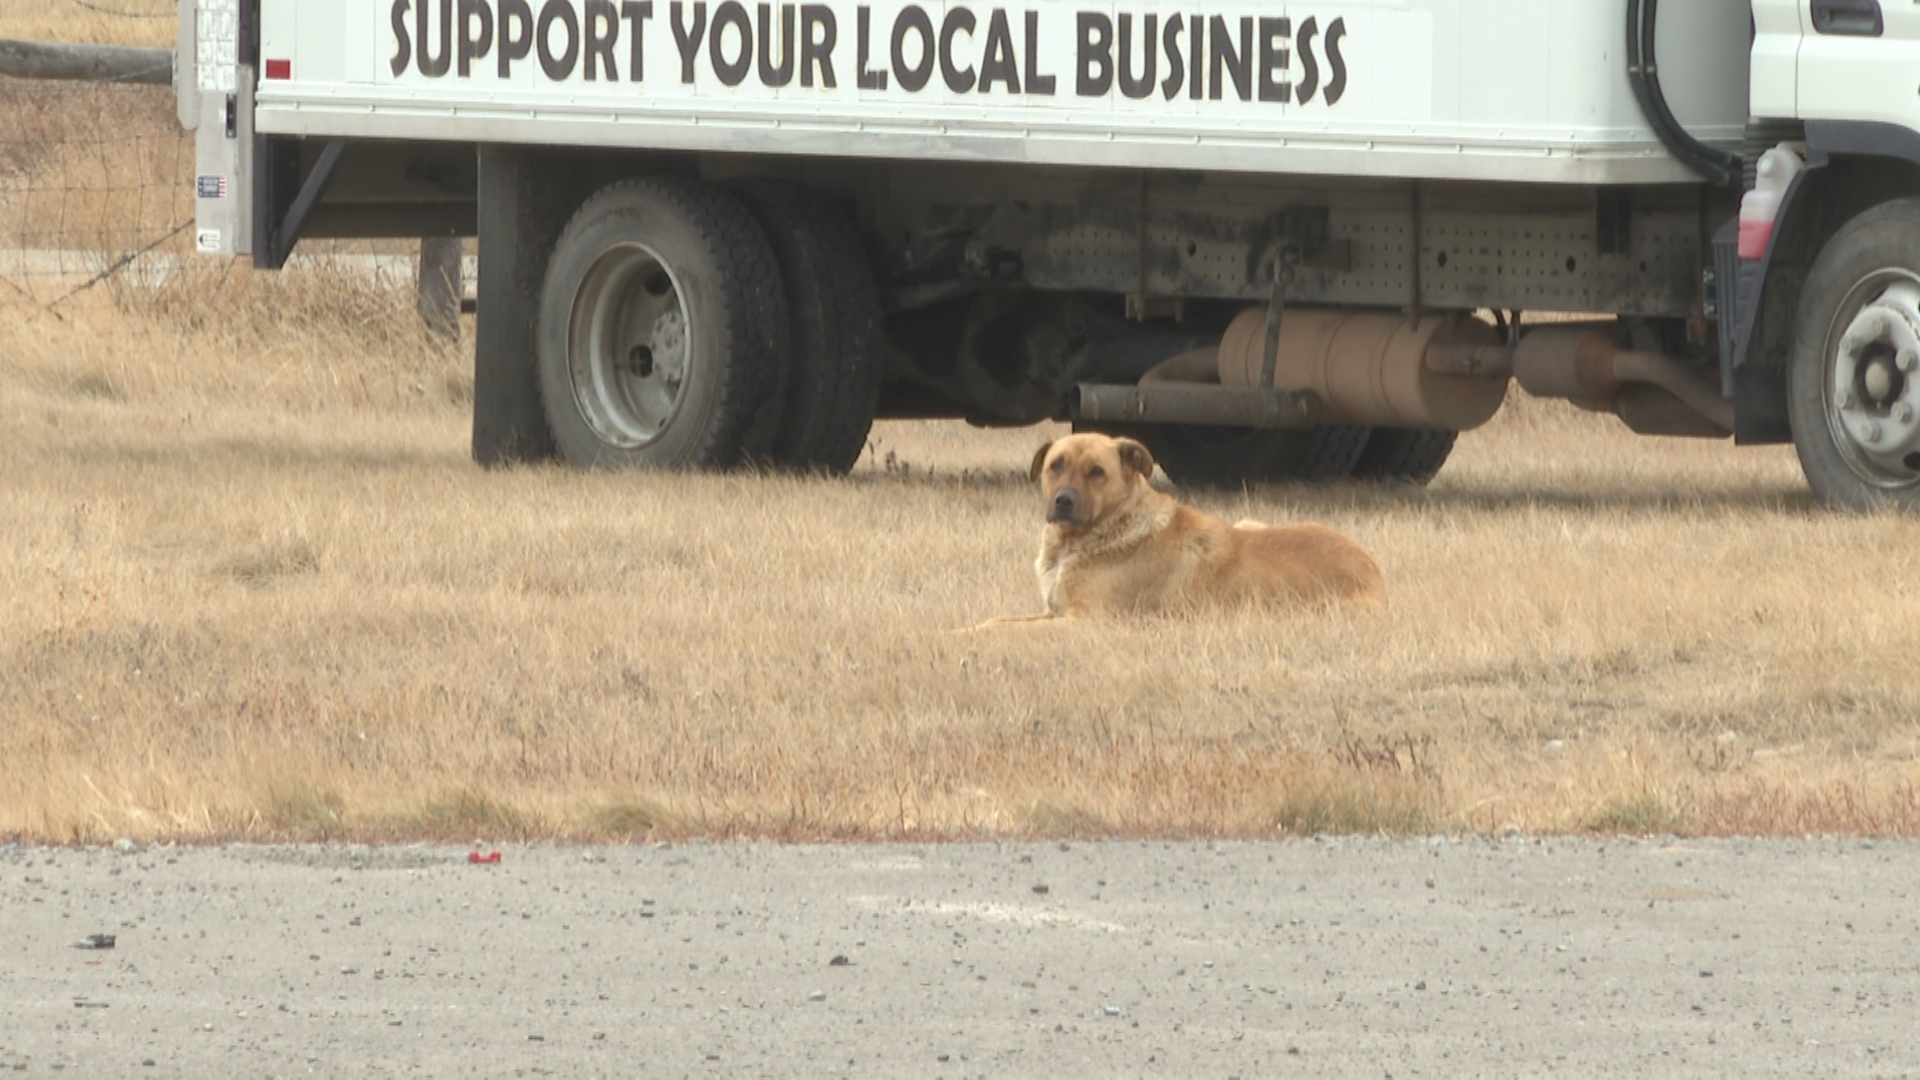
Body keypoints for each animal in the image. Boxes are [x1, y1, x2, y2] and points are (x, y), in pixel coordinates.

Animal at [1006, 428, 1382, 614]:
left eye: (1097, 472)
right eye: (1056, 465)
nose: (1063, 501)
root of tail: (1374, 571)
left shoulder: (1086, 622)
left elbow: (1006, 630)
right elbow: (1000, 619)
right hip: (1247, 522)